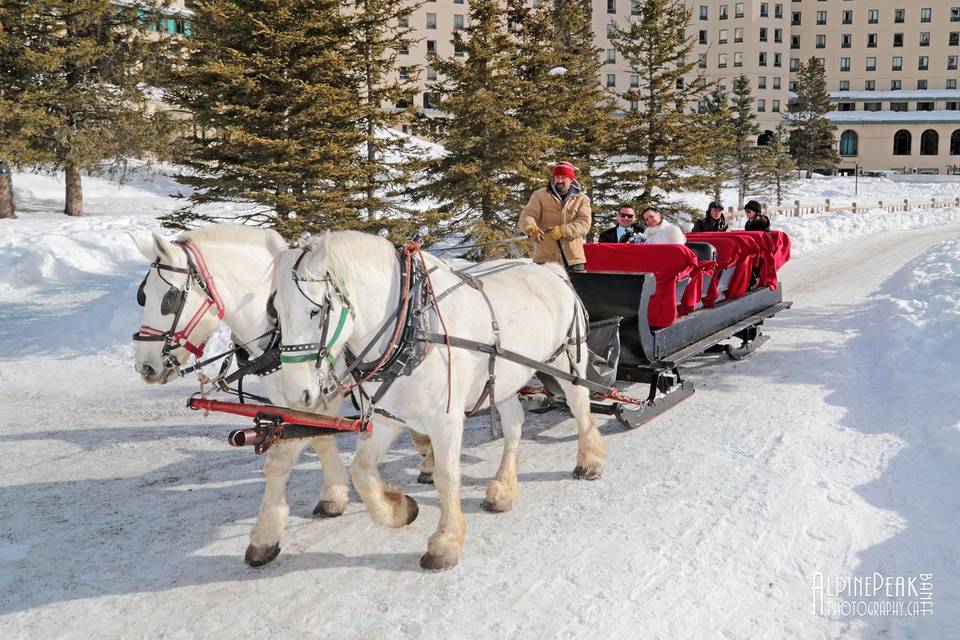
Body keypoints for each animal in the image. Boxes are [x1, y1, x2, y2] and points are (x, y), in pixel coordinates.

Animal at [129, 225, 350, 564]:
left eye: (169, 298)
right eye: (143, 296)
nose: (145, 365)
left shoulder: (323, 392)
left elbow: (281, 459)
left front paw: (265, 536)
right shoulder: (294, 398)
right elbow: (320, 438)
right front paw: (334, 495)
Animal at [266, 231, 604, 568]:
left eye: (315, 310)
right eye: (276, 313)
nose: (296, 392)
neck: (412, 325)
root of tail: (551, 270)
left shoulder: (446, 419)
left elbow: (447, 475)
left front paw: (446, 542)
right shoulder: (387, 417)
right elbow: (361, 471)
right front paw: (400, 509)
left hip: (566, 359)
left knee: (580, 406)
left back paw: (590, 461)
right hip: (503, 378)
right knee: (514, 425)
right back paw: (503, 489)